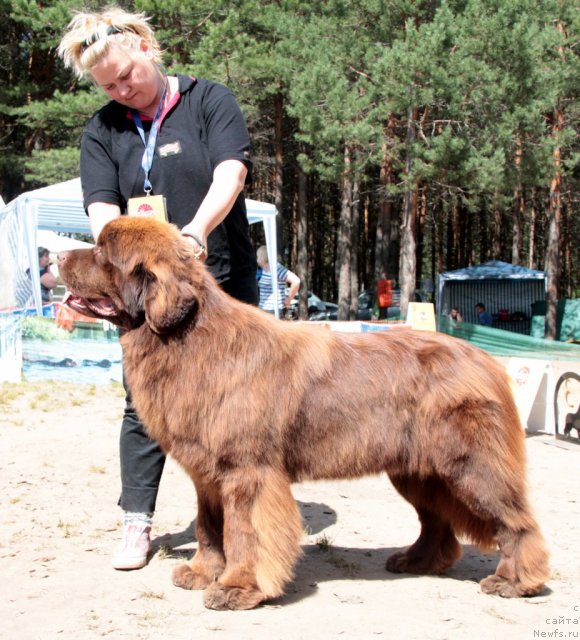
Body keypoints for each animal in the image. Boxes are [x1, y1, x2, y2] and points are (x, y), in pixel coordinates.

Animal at [56, 216, 552, 608]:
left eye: (101, 251)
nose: (57, 254)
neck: (187, 339)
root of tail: (487, 360)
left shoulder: (247, 472)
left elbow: (245, 533)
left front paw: (238, 588)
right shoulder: (207, 474)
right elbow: (209, 527)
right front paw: (201, 573)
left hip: (472, 467)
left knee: (516, 522)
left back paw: (515, 582)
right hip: (419, 471)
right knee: (437, 521)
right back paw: (417, 560)